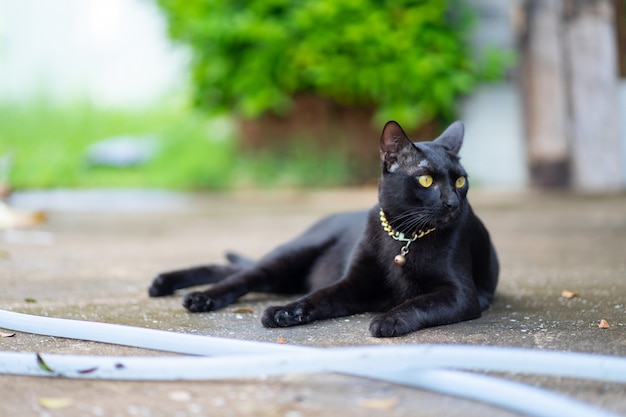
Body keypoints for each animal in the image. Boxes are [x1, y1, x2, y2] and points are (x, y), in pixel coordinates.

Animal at [150, 119, 498, 334]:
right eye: (425, 180)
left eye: (461, 181)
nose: (453, 203)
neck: (404, 236)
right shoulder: (354, 283)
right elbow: (319, 297)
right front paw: (284, 312)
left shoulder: (459, 293)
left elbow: (419, 302)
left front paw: (388, 320)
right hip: (293, 255)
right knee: (241, 276)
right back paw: (193, 295)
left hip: (286, 276)